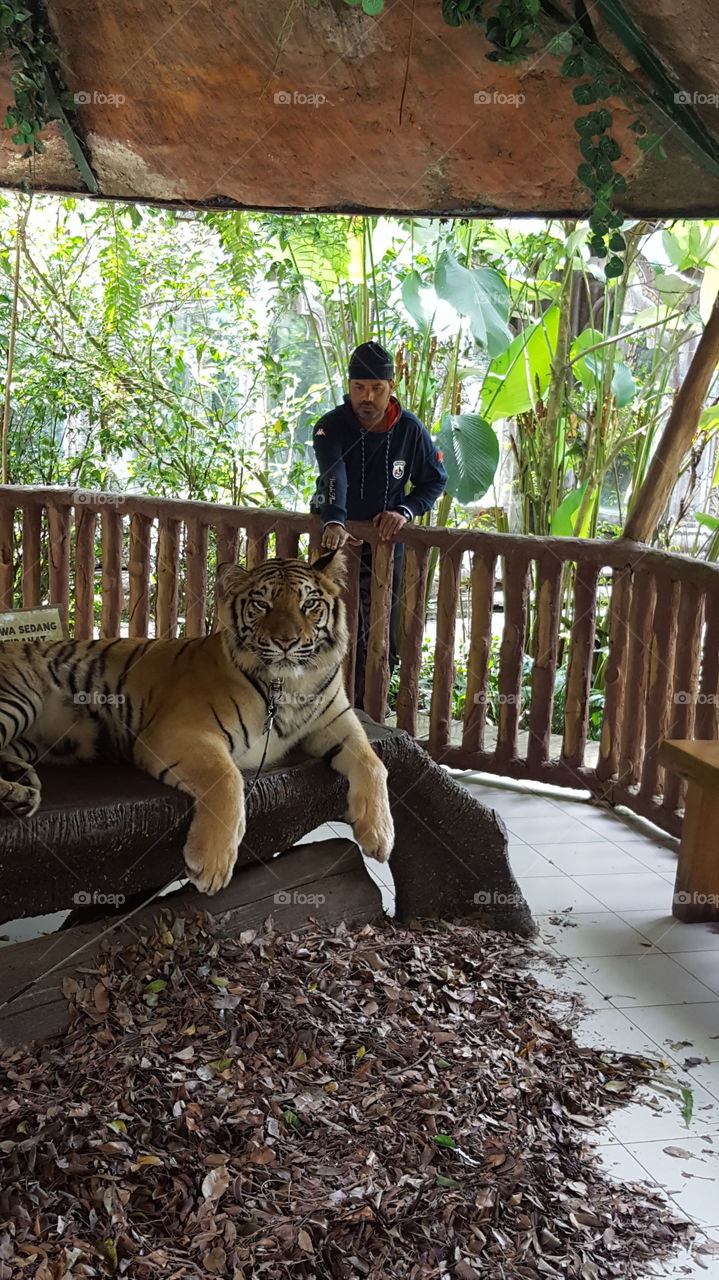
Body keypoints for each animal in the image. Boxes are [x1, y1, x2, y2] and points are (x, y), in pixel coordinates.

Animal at [0, 549, 394, 895]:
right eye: (262, 605)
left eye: (309, 604)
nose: (286, 642)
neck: (289, 687)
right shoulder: (179, 732)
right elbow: (228, 778)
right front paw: (212, 865)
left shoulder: (337, 720)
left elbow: (374, 762)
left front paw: (379, 834)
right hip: (20, 697)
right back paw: (16, 793)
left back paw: (21, 788)